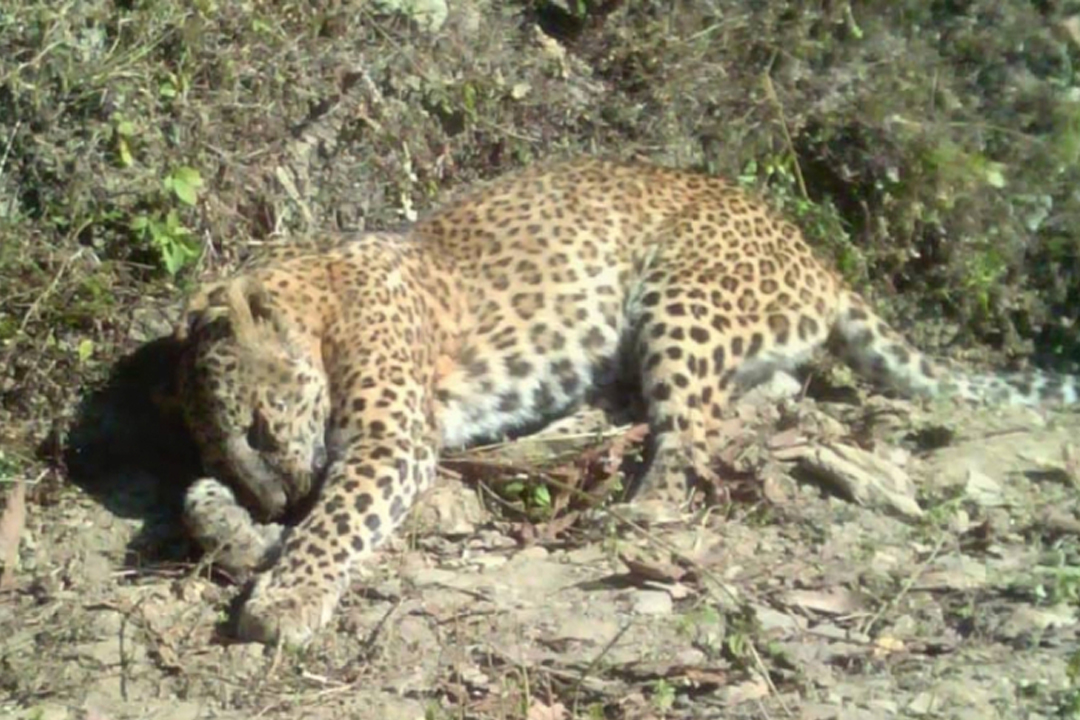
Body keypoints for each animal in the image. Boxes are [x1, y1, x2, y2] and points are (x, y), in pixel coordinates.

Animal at [172, 156, 1075, 647]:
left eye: (259, 426)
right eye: (226, 445)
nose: (277, 500)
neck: (317, 297)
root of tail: (818, 256)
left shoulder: (389, 441)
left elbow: (337, 521)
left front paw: (285, 594)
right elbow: (201, 499)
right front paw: (239, 527)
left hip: (683, 298)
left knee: (694, 436)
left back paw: (628, 513)